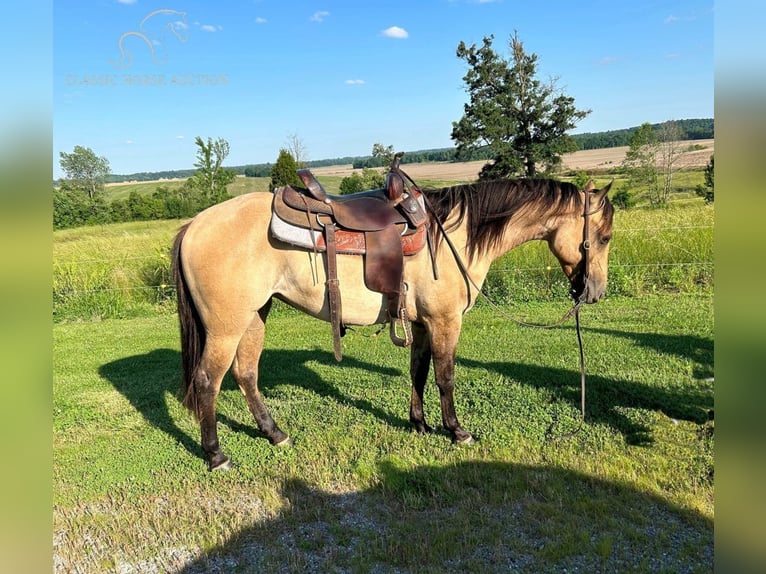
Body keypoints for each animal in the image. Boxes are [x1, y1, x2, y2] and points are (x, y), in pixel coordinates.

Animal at [171, 172, 616, 472]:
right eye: (605, 237)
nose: (595, 292)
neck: (453, 235)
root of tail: (193, 225)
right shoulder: (444, 321)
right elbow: (445, 377)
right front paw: (456, 430)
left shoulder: (420, 323)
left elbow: (418, 371)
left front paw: (419, 424)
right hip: (226, 327)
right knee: (208, 382)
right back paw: (216, 455)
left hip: (254, 317)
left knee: (246, 373)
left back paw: (275, 434)